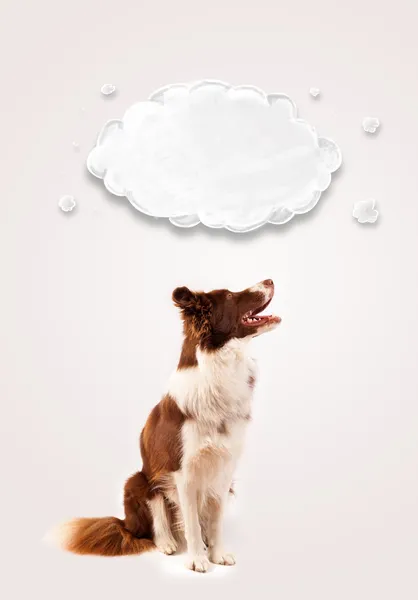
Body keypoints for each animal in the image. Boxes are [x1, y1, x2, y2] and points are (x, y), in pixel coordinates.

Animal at [53, 280, 280, 572]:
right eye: (230, 296)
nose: (270, 280)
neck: (221, 368)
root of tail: (125, 524)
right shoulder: (183, 471)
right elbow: (191, 523)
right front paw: (197, 559)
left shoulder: (223, 468)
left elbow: (215, 521)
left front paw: (217, 553)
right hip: (139, 481)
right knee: (157, 520)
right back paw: (168, 543)